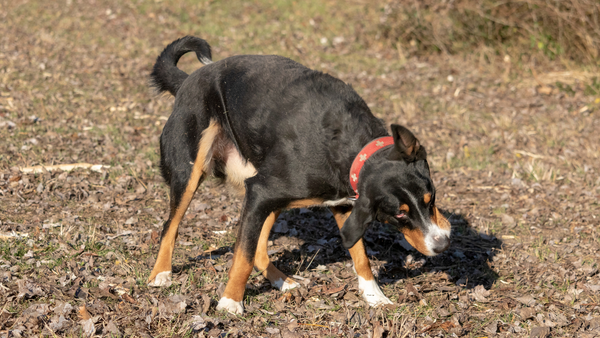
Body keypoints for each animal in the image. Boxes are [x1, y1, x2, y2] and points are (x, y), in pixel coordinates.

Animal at [146, 36, 450, 314]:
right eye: (399, 213)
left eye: (431, 198)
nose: (443, 244)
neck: (349, 147)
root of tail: (189, 79)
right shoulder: (260, 191)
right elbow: (242, 256)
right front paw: (230, 302)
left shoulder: (342, 205)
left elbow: (360, 255)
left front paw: (374, 296)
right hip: (191, 172)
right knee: (171, 226)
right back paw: (160, 274)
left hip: (269, 196)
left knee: (259, 249)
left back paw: (282, 281)